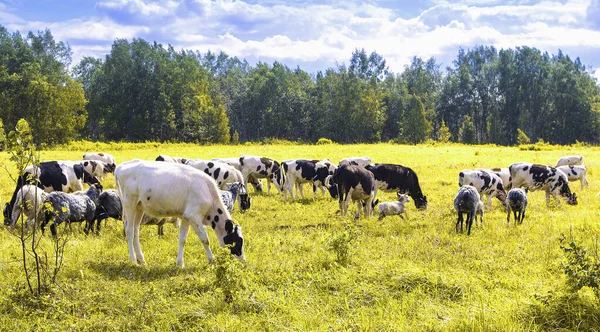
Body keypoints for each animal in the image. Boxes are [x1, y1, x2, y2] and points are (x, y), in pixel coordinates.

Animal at [113, 161, 245, 268]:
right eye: (238, 241)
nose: (243, 260)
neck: (208, 191)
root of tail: (121, 166)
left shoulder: (186, 216)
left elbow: (182, 239)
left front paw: (180, 263)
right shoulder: (193, 215)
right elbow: (205, 239)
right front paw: (212, 260)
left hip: (139, 207)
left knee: (136, 230)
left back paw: (141, 259)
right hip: (129, 204)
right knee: (129, 231)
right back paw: (133, 260)